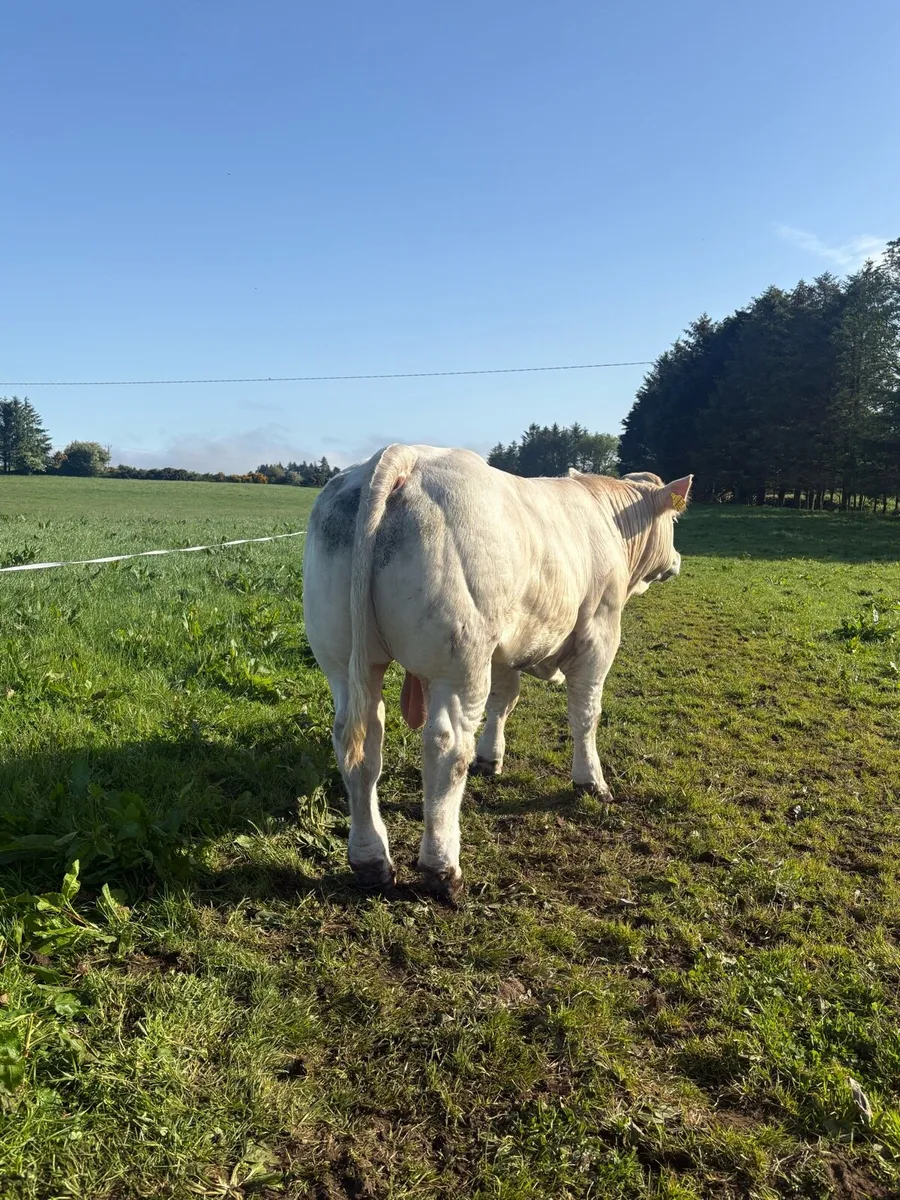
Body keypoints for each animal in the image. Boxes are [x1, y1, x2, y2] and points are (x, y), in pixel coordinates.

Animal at [302, 444, 692, 902]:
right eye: (674, 521)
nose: (678, 560)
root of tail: (406, 456)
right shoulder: (599, 631)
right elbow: (585, 713)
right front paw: (591, 781)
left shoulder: (505, 648)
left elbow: (504, 701)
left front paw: (491, 757)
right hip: (458, 663)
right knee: (446, 748)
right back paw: (442, 868)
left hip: (344, 661)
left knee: (360, 745)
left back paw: (371, 861)